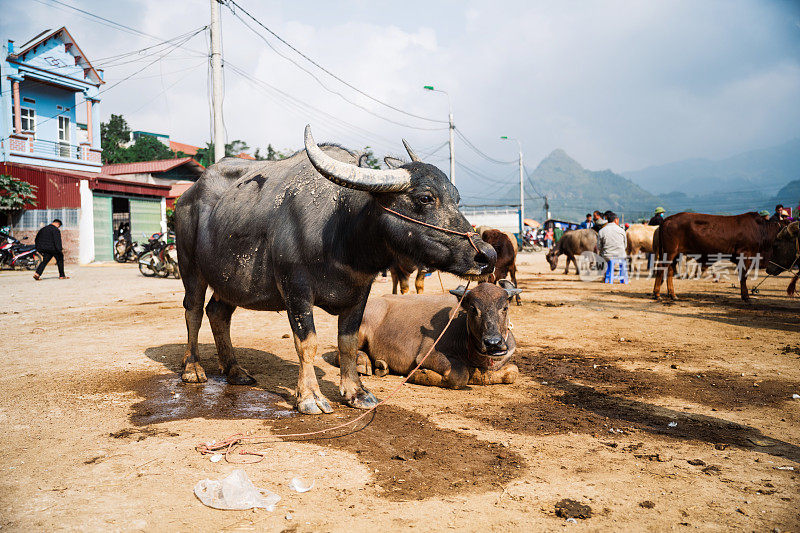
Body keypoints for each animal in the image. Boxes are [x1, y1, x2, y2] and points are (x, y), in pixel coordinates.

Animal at [177, 127, 494, 414]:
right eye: (425, 198)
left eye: (456, 198)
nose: (486, 256)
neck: (340, 233)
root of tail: (186, 196)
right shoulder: (295, 289)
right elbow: (307, 343)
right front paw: (309, 397)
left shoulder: (360, 291)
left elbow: (348, 343)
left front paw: (356, 392)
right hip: (190, 268)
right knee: (193, 310)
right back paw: (192, 368)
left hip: (229, 282)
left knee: (218, 313)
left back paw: (234, 370)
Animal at [334, 280, 520, 388]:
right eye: (473, 309)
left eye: (505, 307)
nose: (493, 343)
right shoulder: (427, 355)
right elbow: (460, 375)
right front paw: (420, 374)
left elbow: (513, 371)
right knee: (341, 352)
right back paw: (362, 362)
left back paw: (381, 365)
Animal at [648, 213, 780, 304]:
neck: (761, 230)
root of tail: (667, 219)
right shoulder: (745, 255)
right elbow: (743, 277)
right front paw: (746, 297)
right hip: (670, 252)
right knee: (661, 268)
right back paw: (657, 294)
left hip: (674, 254)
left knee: (669, 270)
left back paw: (673, 295)